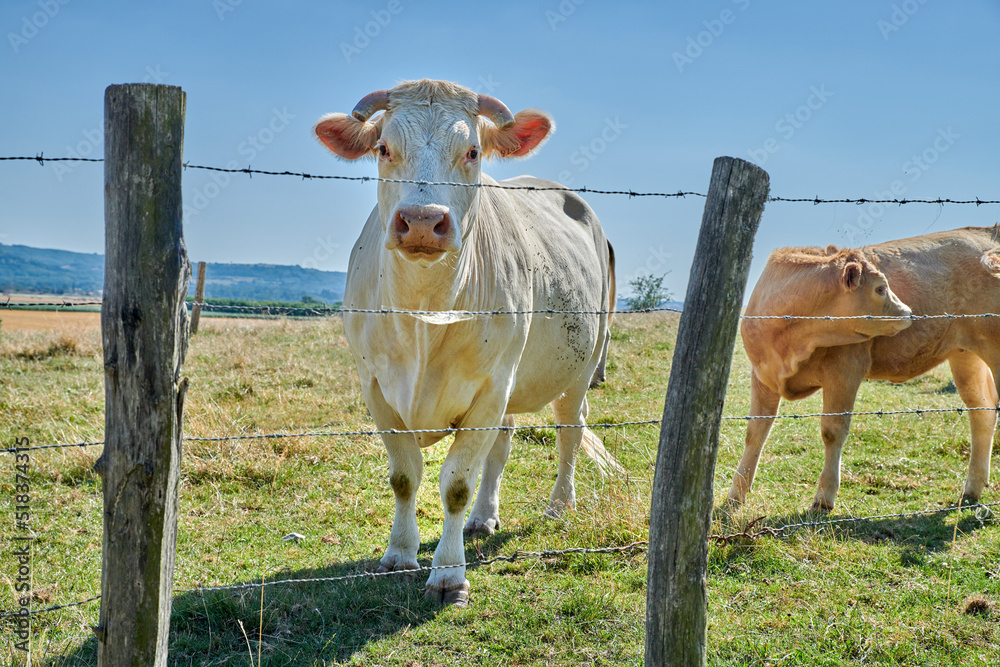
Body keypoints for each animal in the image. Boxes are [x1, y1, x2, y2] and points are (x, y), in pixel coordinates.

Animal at [316, 81, 616, 608]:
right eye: (383, 148)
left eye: (473, 151)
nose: (420, 221)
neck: (425, 317)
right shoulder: (375, 388)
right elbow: (404, 476)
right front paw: (399, 554)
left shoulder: (489, 389)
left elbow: (456, 483)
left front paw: (449, 576)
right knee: (503, 445)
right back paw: (483, 517)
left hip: (577, 370)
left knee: (569, 433)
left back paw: (560, 506)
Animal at [728, 226, 1000, 512]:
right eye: (880, 288)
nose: (908, 312)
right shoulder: (762, 375)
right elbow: (755, 431)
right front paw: (736, 494)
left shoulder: (845, 371)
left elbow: (832, 430)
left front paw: (824, 498)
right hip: (965, 355)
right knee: (982, 412)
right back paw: (971, 490)